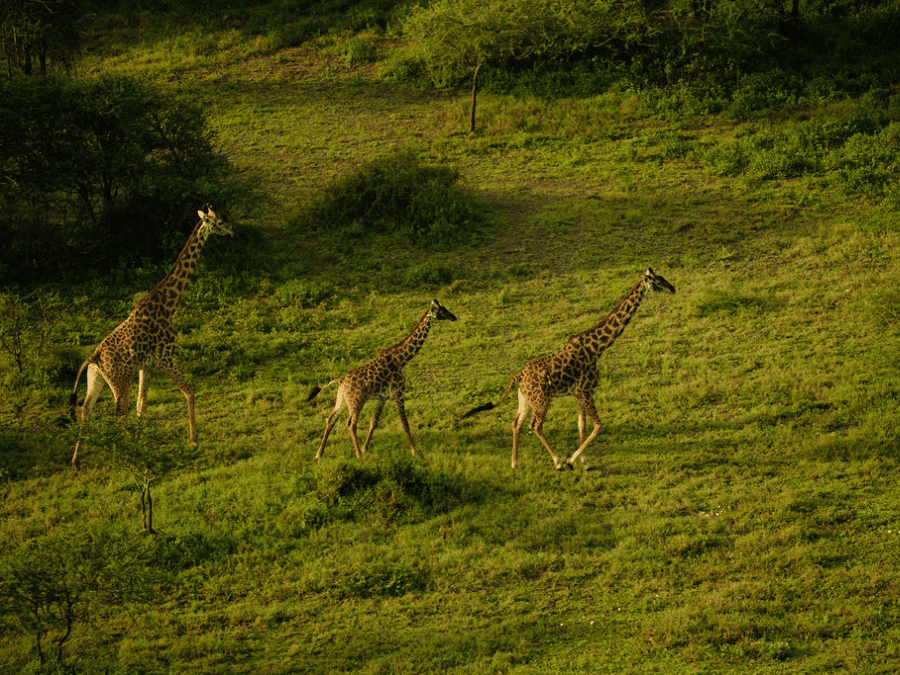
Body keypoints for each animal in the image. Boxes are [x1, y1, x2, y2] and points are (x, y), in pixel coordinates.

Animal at [69, 207, 236, 472]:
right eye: (219, 222)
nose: (233, 230)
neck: (169, 305)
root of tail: (93, 357)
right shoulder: (165, 358)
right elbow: (189, 391)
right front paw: (194, 441)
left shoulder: (146, 366)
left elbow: (142, 406)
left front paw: (140, 443)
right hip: (119, 380)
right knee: (118, 412)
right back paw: (122, 455)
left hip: (96, 378)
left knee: (86, 409)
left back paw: (77, 460)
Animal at [306, 298, 457, 459]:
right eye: (442, 310)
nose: (454, 317)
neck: (401, 359)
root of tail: (340, 380)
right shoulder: (398, 393)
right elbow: (404, 422)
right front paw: (414, 451)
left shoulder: (382, 397)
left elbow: (374, 422)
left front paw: (366, 448)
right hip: (356, 402)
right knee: (351, 424)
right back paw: (358, 455)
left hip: (342, 401)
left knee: (330, 420)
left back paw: (319, 453)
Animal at [462, 268, 675, 470]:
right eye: (658, 282)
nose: (672, 288)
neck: (597, 349)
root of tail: (517, 376)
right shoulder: (585, 390)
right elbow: (598, 425)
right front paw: (572, 461)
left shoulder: (579, 393)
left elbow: (582, 426)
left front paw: (585, 463)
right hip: (542, 400)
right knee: (535, 426)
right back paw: (557, 462)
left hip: (526, 399)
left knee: (517, 423)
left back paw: (515, 463)